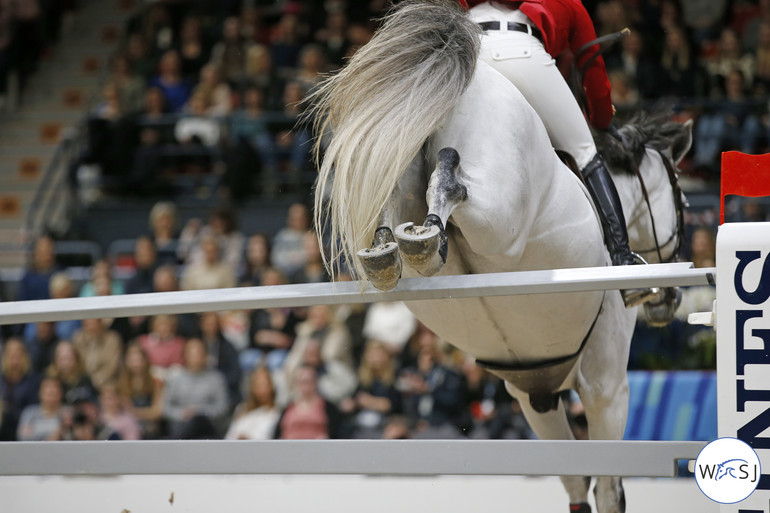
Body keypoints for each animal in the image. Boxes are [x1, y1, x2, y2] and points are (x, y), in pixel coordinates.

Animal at [310, 2, 688, 510]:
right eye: (683, 201)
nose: (668, 302)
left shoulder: (534, 395)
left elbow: (576, 482)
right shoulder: (606, 384)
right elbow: (608, 488)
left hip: (405, 154)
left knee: (400, 202)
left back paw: (391, 248)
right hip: (500, 218)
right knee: (454, 183)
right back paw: (428, 227)